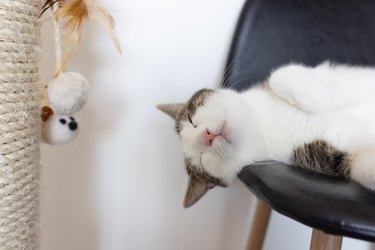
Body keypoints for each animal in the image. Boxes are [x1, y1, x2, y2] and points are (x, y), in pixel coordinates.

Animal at [157, 61, 375, 208]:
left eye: (191, 119)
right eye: (202, 158)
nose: (207, 136)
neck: (262, 125)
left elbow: (279, 74)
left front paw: (319, 97)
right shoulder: (331, 157)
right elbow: (361, 166)